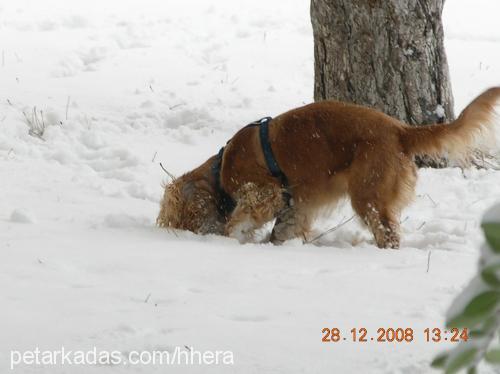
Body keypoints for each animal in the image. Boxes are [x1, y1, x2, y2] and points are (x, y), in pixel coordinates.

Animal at [155, 88, 496, 248]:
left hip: (369, 197)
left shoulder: (265, 192)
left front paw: (230, 238)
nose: (175, 232)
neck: (220, 169)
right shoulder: (297, 204)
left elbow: (241, 219)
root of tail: (400, 130)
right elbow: (284, 228)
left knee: (389, 235)